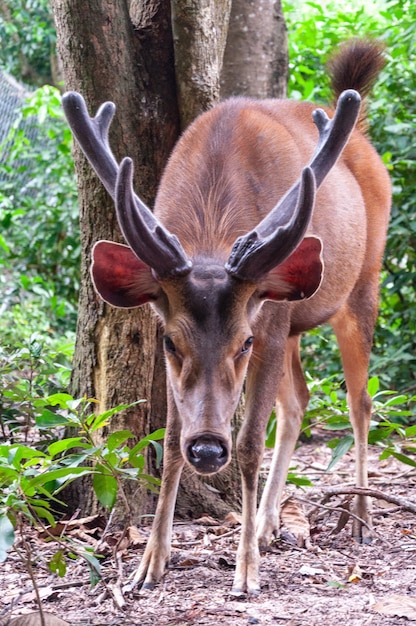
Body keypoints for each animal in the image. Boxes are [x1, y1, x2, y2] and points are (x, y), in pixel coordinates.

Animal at [61, 39, 390, 596]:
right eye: (171, 342)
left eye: (244, 342)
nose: (210, 451)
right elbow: (170, 444)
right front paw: (149, 565)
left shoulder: (269, 326)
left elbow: (251, 443)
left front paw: (246, 571)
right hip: (294, 322)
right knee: (299, 400)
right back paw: (269, 522)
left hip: (361, 285)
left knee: (359, 402)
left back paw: (361, 520)